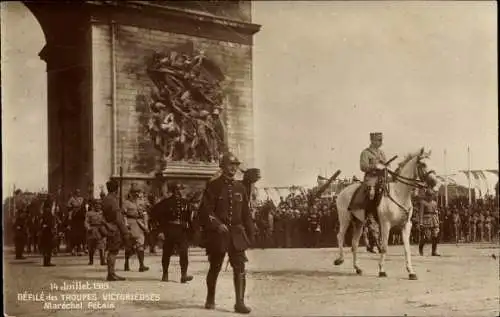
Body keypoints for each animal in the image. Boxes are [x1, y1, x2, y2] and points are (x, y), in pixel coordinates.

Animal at [336, 147, 438, 278]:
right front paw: (382, 270)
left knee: (354, 243)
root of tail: (342, 191)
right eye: (423, 164)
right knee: (340, 236)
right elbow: (384, 247)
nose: (435, 182)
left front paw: (411, 272)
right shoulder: (385, 224)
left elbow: (407, 249)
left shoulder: (406, 225)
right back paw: (340, 259)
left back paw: (357, 268)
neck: (399, 194)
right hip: (344, 219)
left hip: (359, 222)